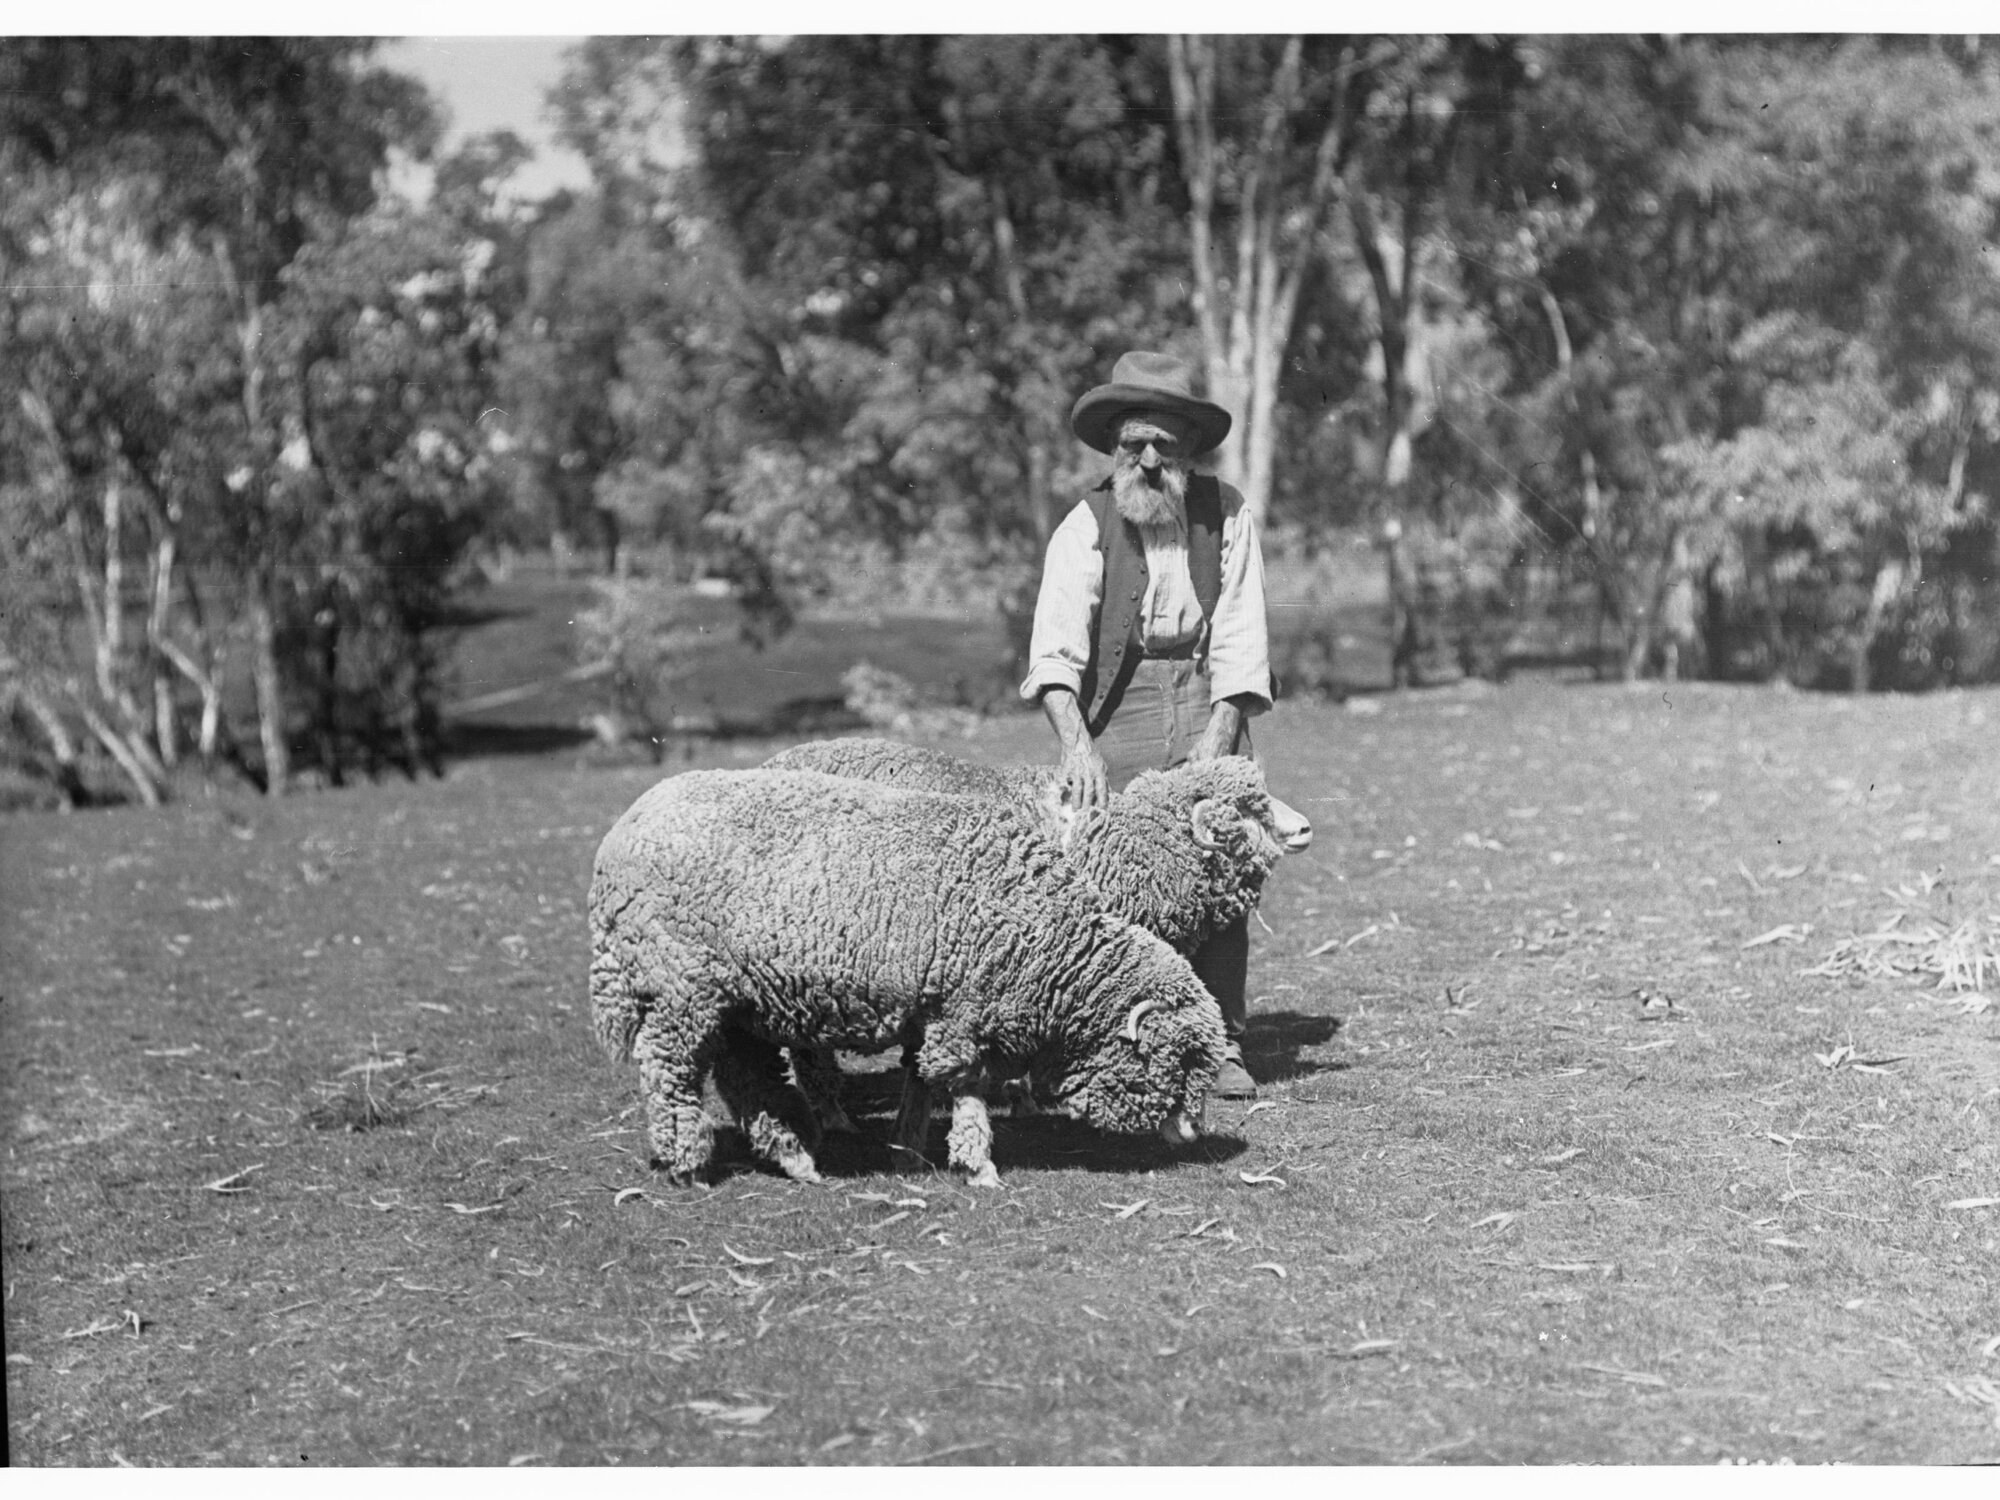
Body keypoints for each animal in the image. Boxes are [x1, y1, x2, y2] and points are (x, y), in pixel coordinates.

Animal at [588, 767, 1228, 1187]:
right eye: (1177, 1059)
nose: (1192, 1133)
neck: (1042, 939)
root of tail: (622, 832)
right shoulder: (960, 1013)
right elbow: (963, 1086)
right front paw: (977, 1165)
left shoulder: (932, 1009)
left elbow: (921, 1083)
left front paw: (908, 1151)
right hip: (680, 988)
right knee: (669, 1070)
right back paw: (686, 1164)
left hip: (736, 1001)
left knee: (743, 1075)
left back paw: (796, 1158)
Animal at [762, 738, 1313, 1142]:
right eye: (1246, 810)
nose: (1306, 828)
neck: (1111, 846)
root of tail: (772, 762)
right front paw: (1022, 1096)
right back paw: (831, 1113)